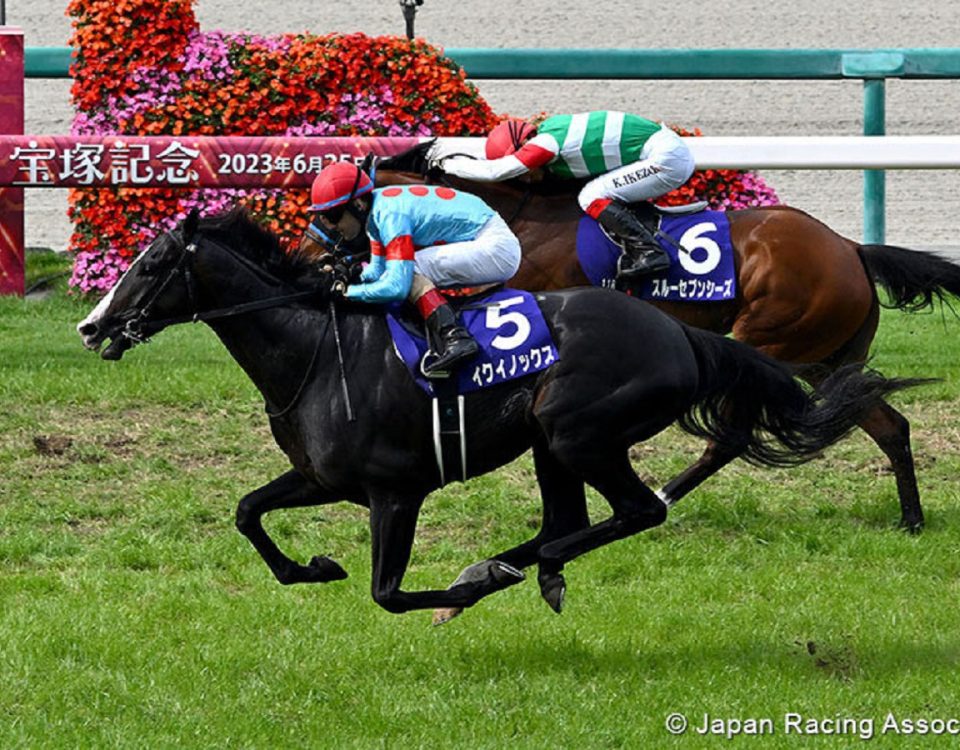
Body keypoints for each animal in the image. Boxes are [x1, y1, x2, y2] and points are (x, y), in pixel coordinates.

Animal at [77, 210, 916, 616]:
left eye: (151, 266)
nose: (90, 326)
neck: (314, 350)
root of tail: (678, 331)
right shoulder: (319, 478)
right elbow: (248, 511)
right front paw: (310, 567)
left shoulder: (395, 490)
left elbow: (388, 594)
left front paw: (453, 594)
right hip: (552, 441)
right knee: (567, 521)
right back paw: (510, 563)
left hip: (579, 431)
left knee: (634, 512)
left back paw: (520, 569)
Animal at [372, 144, 960, 532]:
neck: (516, 223)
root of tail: (850, 248)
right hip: (827, 360)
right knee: (887, 425)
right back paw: (911, 519)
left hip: (768, 343)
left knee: (730, 437)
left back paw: (663, 497)